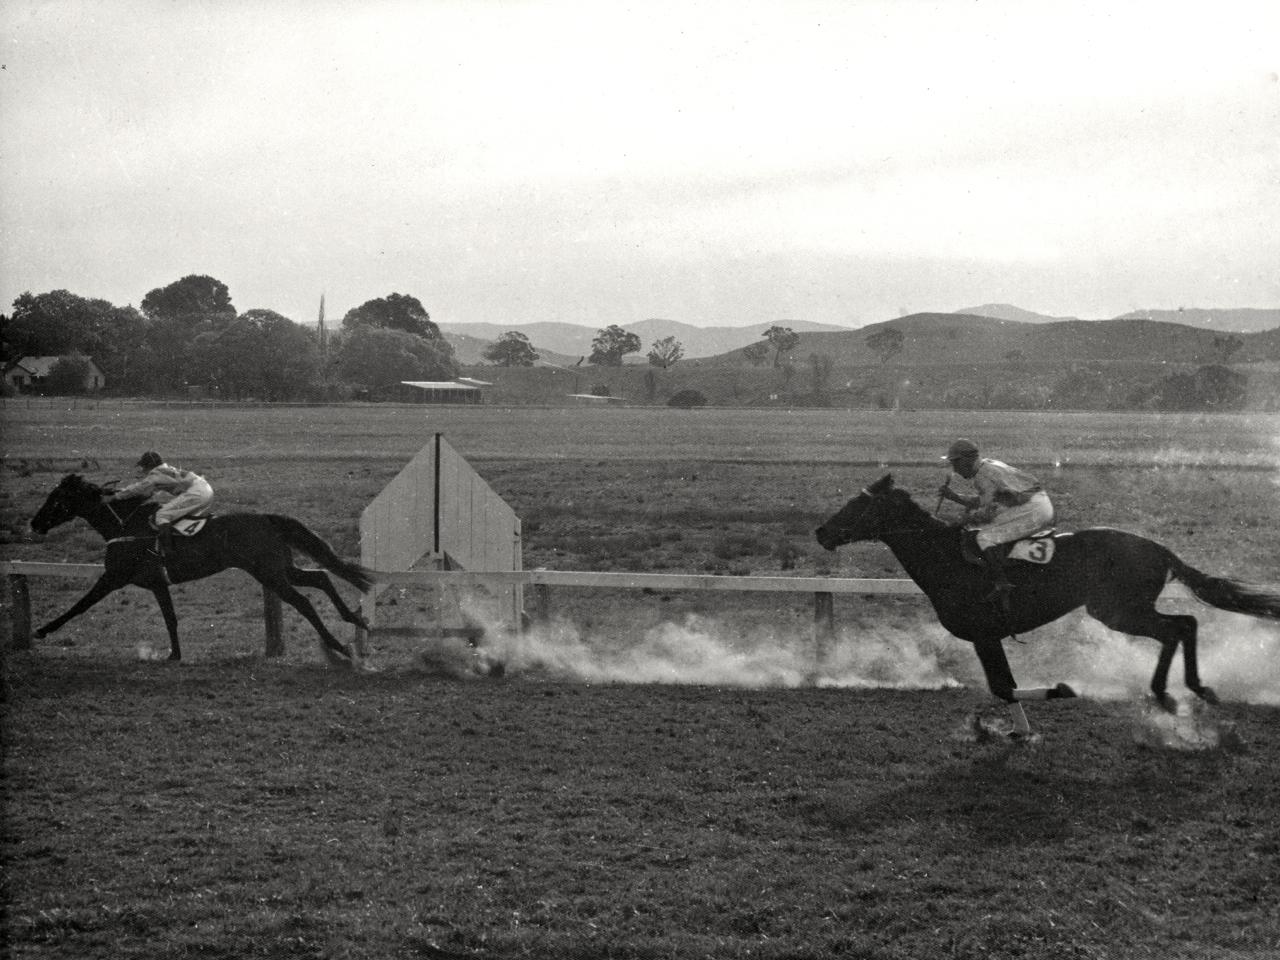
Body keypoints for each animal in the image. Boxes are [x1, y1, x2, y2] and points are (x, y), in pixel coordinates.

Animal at [28, 476, 373, 670]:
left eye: (56, 498)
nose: (35, 523)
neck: (125, 526)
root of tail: (267, 518)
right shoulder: (157, 583)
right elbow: (170, 618)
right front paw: (174, 655)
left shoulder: (113, 577)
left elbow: (79, 605)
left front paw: (42, 630)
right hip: (280, 568)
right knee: (320, 577)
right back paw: (355, 620)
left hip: (269, 574)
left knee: (303, 601)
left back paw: (339, 646)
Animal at [814, 478, 1280, 742]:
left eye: (857, 505)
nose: (821, 531)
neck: (948, 561)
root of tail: (1160, 549)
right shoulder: (988, 637)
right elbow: (1003, 685)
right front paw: (1017, 731)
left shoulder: (984, 634)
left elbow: (1003, 687)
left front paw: (1062, 690)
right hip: (1120, 609)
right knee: (1184, 624)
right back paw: (1190, 689)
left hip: (1117, 610)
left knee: (1178, 626)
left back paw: (1172, 691)